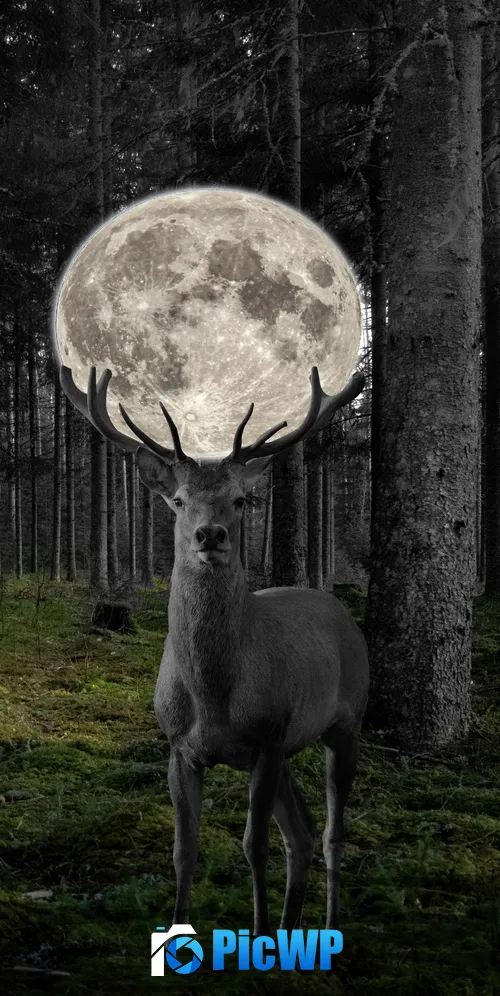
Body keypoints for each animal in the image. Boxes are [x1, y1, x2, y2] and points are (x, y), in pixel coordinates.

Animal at [60, 362, 369, 936]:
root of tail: (336, 605)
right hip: (291, 745)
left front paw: (260, 929)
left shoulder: (266, 738)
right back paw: (293, 926)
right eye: (178, 500)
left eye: (241, 500)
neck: (212, 695)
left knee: (332, 833)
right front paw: (179, 928)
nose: (210, 534)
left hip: (346, 722)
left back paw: (330, 924)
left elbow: (255, 846)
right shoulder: (181, 748)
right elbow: (184, 850)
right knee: (302, 832)